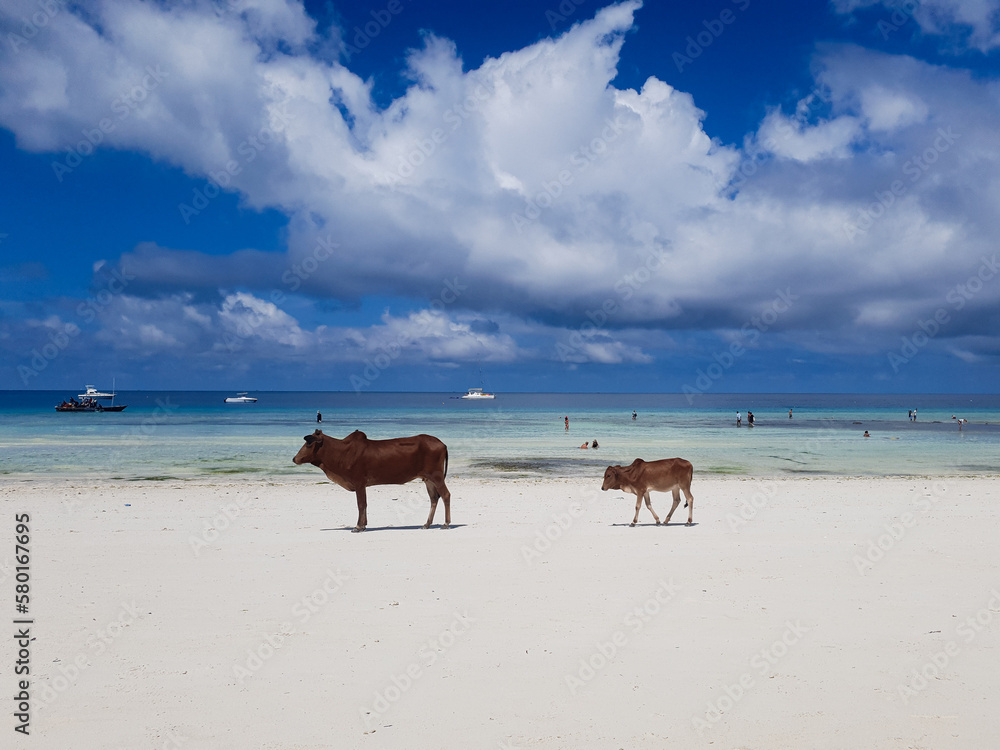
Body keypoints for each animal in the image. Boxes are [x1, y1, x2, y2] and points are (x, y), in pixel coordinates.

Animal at [292, 428, 452, 536]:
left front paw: (358, 526)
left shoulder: (359, 483)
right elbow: (364, 504)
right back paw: (426, 524)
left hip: (437, 477)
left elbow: (361, 504)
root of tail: (442, 443)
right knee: (434, 498)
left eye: (308, 444)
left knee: (445, 495)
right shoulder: (361, 485)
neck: (342, 452)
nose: (294, 458)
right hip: (428, 479)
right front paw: (363, 525)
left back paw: (446, 523)